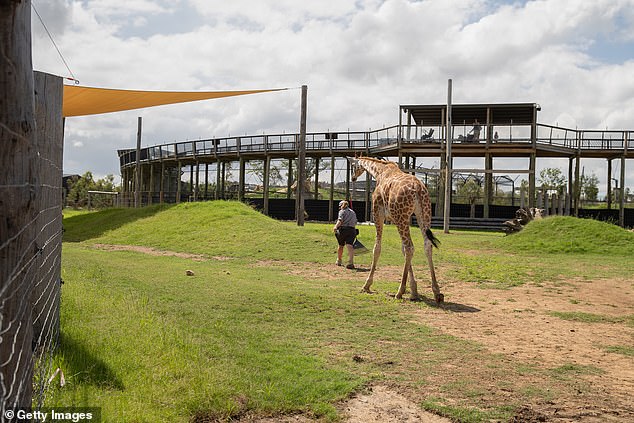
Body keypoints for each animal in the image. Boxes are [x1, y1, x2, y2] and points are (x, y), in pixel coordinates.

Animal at [348, 157, 442, 304]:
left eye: (353, 165)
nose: (353, 177)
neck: (379, 172)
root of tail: (418, 188)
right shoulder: (397, 218)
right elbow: (402, 250)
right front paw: (414, 291)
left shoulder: (378, 214)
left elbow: (377, 248)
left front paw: (366, 285)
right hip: (423, 214)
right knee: (426, 245)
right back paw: (437, 292)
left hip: (401, 217)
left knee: (410, 247)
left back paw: (400, 291)